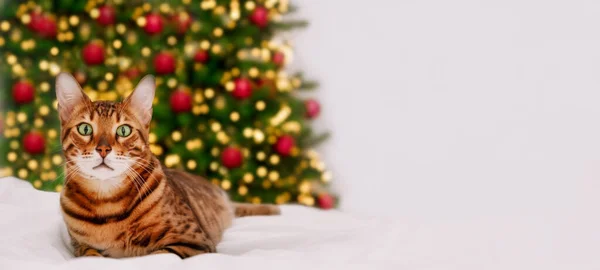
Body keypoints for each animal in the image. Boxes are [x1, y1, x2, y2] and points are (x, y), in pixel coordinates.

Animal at [55, 73, 280, 258]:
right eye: (85, 128)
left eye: (124, 130)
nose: (103, 149)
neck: (107, 203)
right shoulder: (80, 247)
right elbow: (90, 255)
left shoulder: (193, 241)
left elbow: (159, 254)